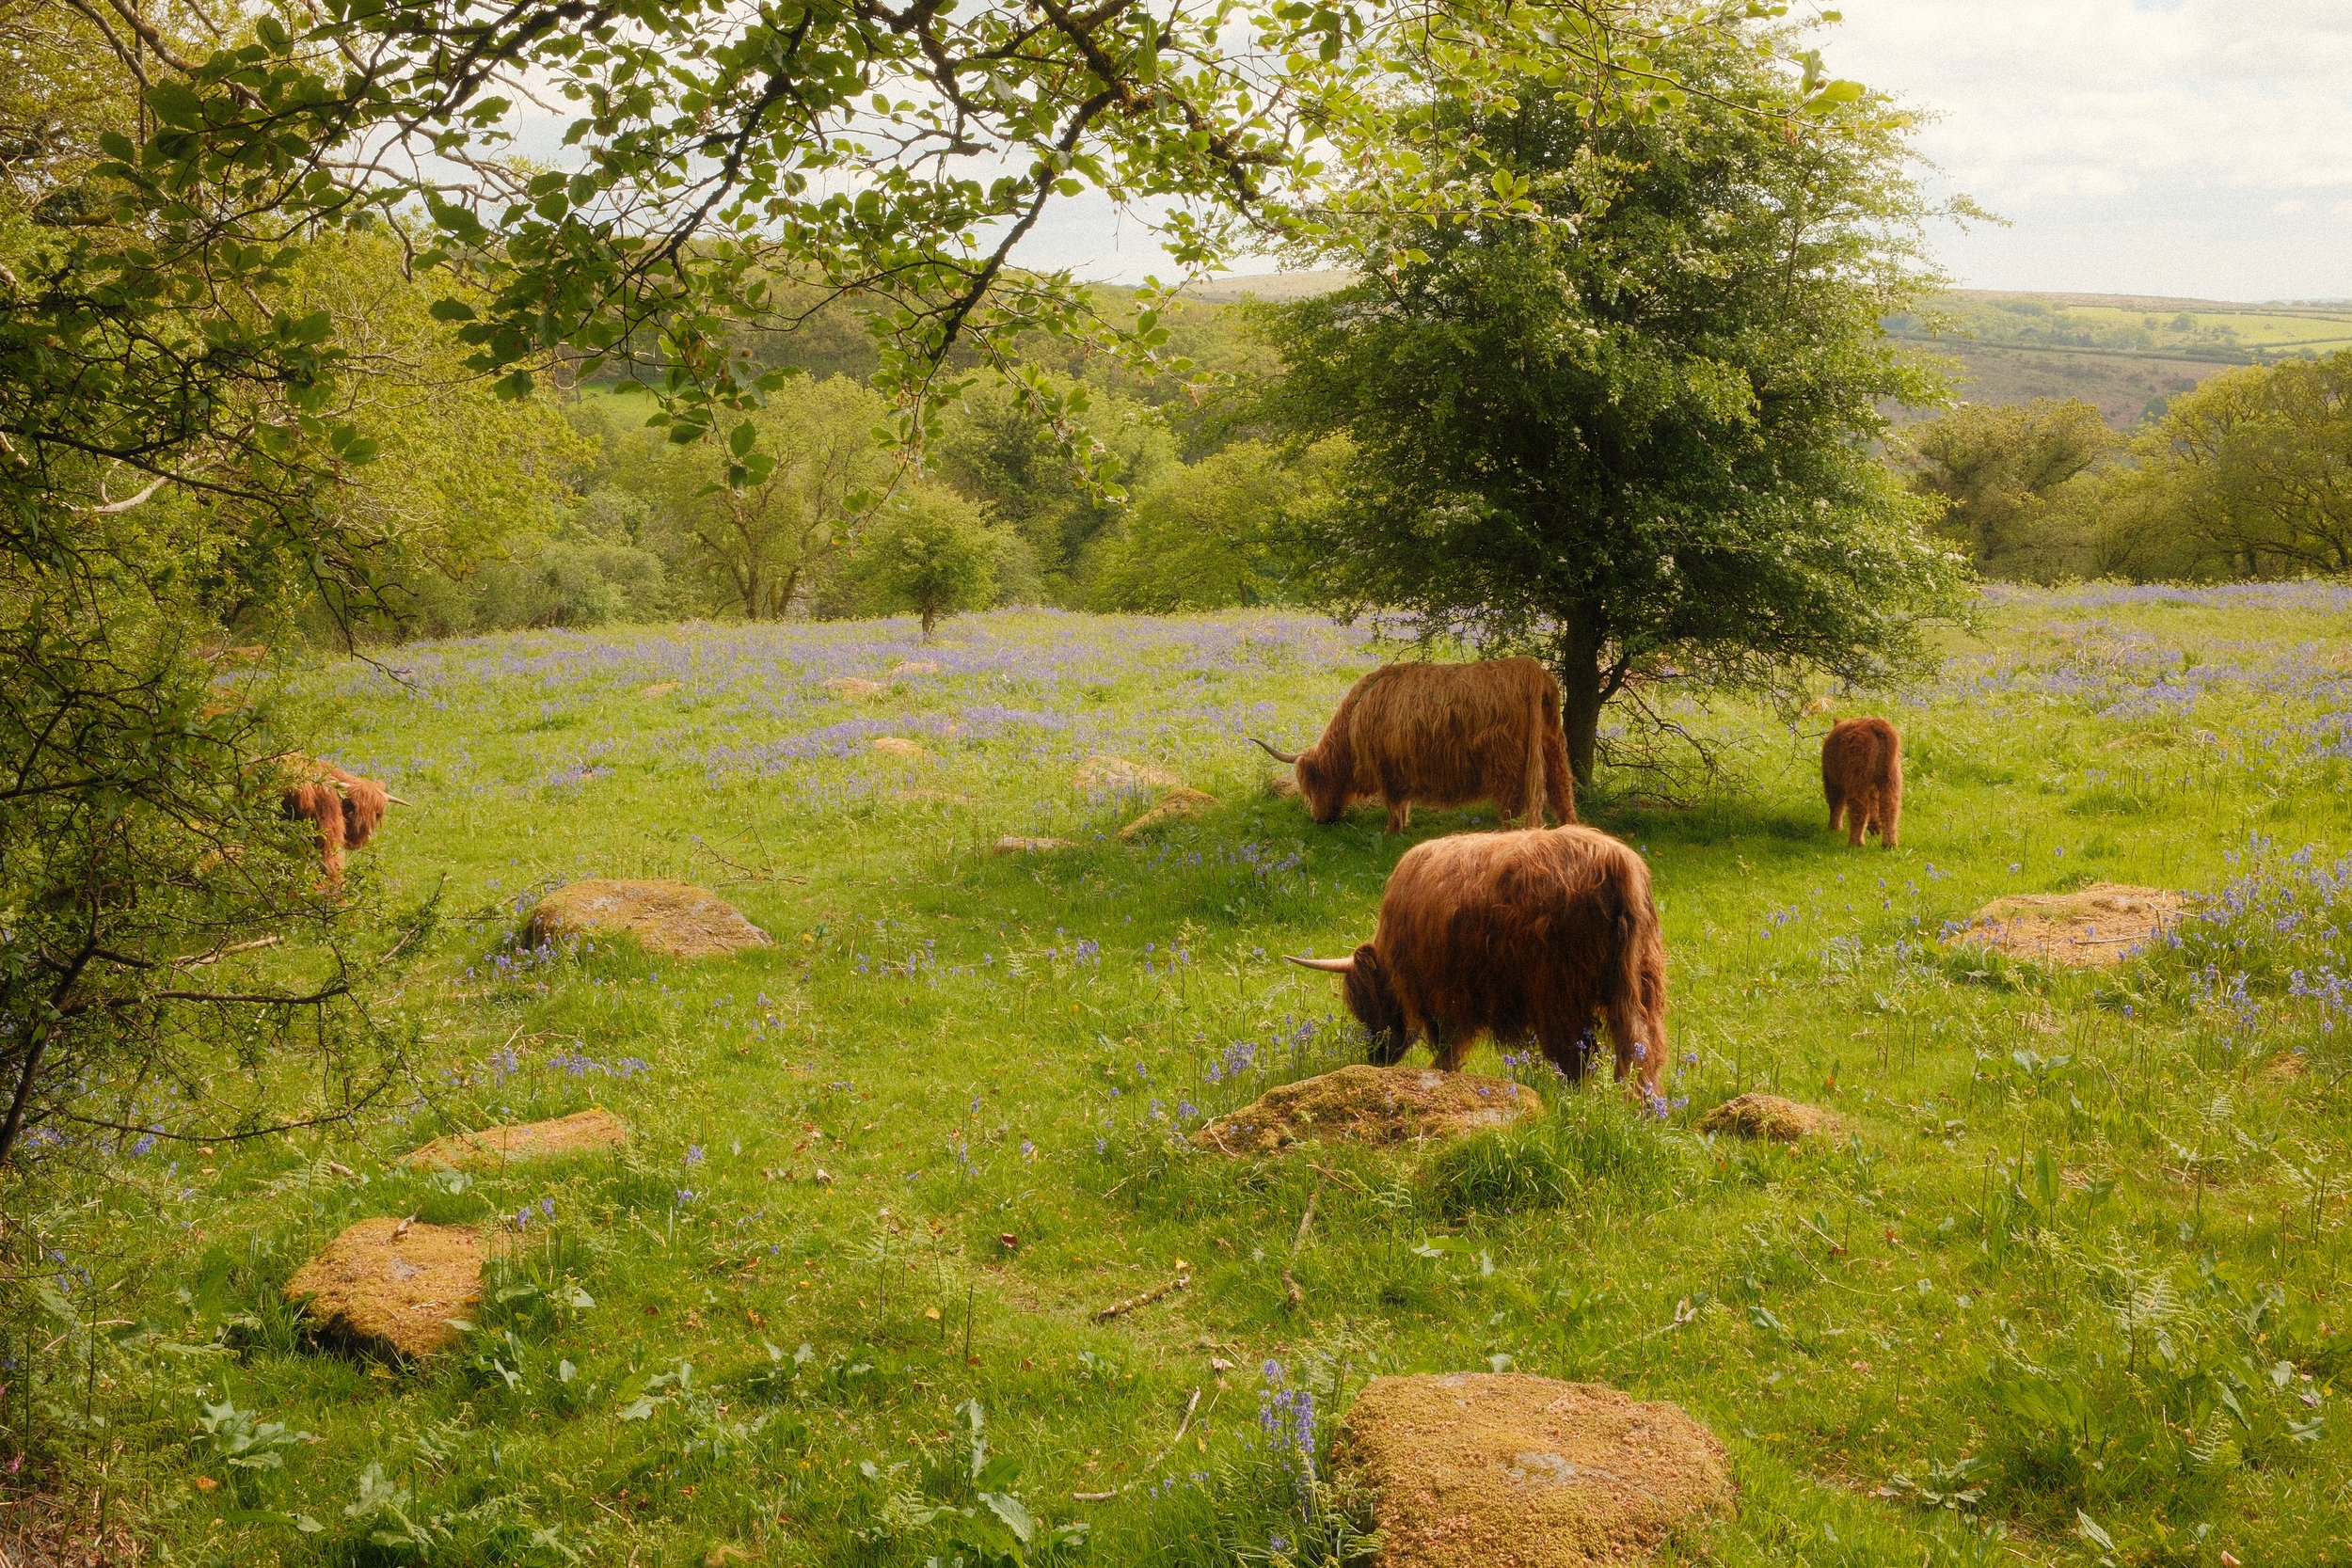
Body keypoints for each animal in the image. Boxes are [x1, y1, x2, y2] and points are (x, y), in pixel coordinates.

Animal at [1252, 658, 1575, 833]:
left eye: (1312, 786)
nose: (1318, 819)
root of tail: (1532, 671)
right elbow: (1402, 801)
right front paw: (1404, 825)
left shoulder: (1386, 767)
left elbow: (1394, 803)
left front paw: (1391, 831)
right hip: (1553, 746)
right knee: (1562, 790)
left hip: (1507, 766)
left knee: (1513, 808)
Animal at [1286, 825, 1669, 1095]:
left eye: (1366, 1005)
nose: (1376, 1059)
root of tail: (1615, 863)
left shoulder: (1444, 995)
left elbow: (1448, 1048)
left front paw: (1442, 1079)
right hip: (1639, 981)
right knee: (1641, 1044)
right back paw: (1642, 1105)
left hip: (1559, 990)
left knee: (1578, 1054)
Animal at [1822, 717, 1902, 849]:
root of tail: (1875, 723)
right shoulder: (1872, 788)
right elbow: (1873, 804)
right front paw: (1874, 826)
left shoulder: (1832, 781)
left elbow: (1836, 806)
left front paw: (1834, 827)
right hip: (1890, 778)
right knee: (1889, 808)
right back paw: (1889, 843)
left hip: (1857, 779)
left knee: (1859, 809)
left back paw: (1855, 843)